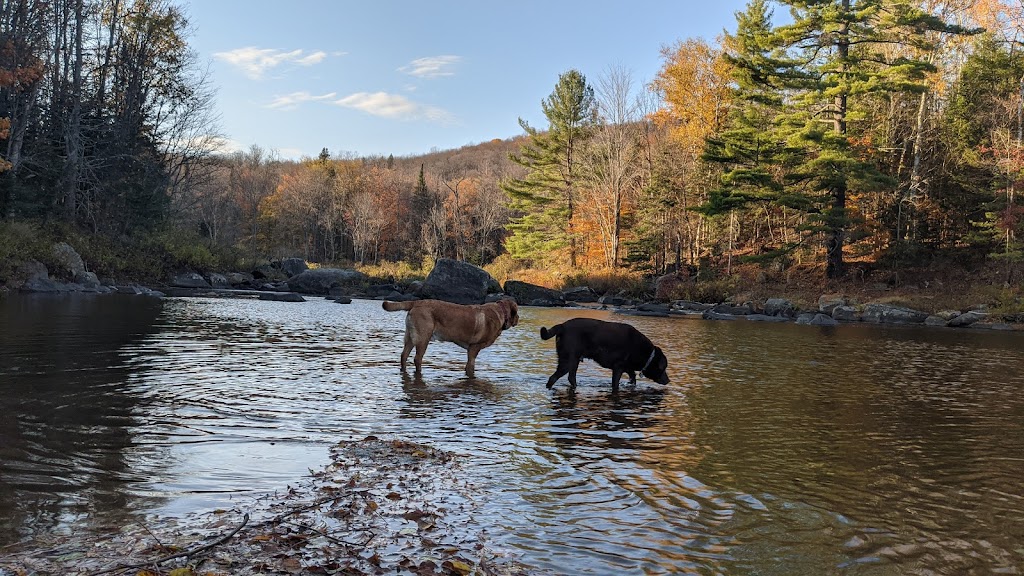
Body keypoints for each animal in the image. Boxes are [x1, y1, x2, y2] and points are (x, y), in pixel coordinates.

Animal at [536, 313, 671, 389]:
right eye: (664, 368)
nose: (668, 380)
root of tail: (562, 326)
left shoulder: (628, 368)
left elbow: (633, 378)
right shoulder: (618, 367)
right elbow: (616, 384)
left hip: (573, 360)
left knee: (568, 377)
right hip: (569, 360)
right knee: (555, 378)